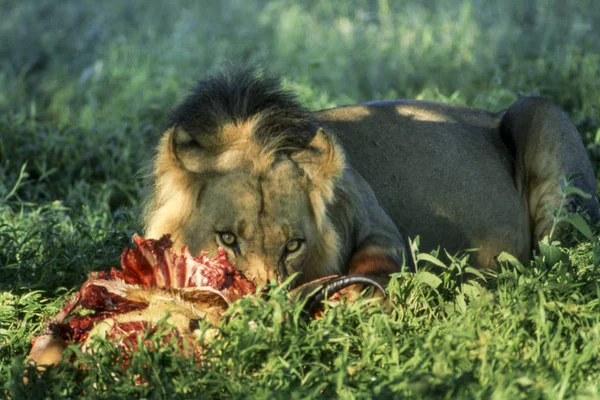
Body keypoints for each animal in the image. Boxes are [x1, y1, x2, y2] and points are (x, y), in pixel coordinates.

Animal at [143, 67, 596, 290]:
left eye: (294, 245)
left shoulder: (375, 218)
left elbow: (370, 266)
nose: (264, 301)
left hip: (542, 114)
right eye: (226, 239)